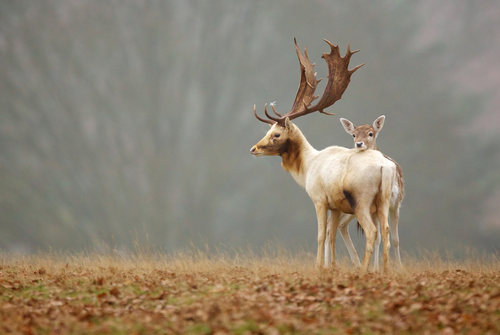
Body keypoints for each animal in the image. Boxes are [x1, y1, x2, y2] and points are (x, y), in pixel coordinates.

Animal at [248, 38, 396, 272]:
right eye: (267, 130)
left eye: (276, 134)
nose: (253, 149)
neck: (307, 167)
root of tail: (385, 167)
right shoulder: (335, 206)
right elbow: (331, 236)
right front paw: (331, 267)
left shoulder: (319, 199)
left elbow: (320, 236)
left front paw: (318, 267)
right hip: (383, 200)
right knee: (386, 231)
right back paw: (385, 271)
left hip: (361, 199)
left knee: (372, 232)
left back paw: (363, 270)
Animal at [326, 117, 404, 272]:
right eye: (353, 134)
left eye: (370, 133)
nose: (359, 144)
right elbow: (379, 237)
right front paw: (376, 269)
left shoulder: (396, 203)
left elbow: (395, 239)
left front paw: (398, 267)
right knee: (331, 226)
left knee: (338, 226)